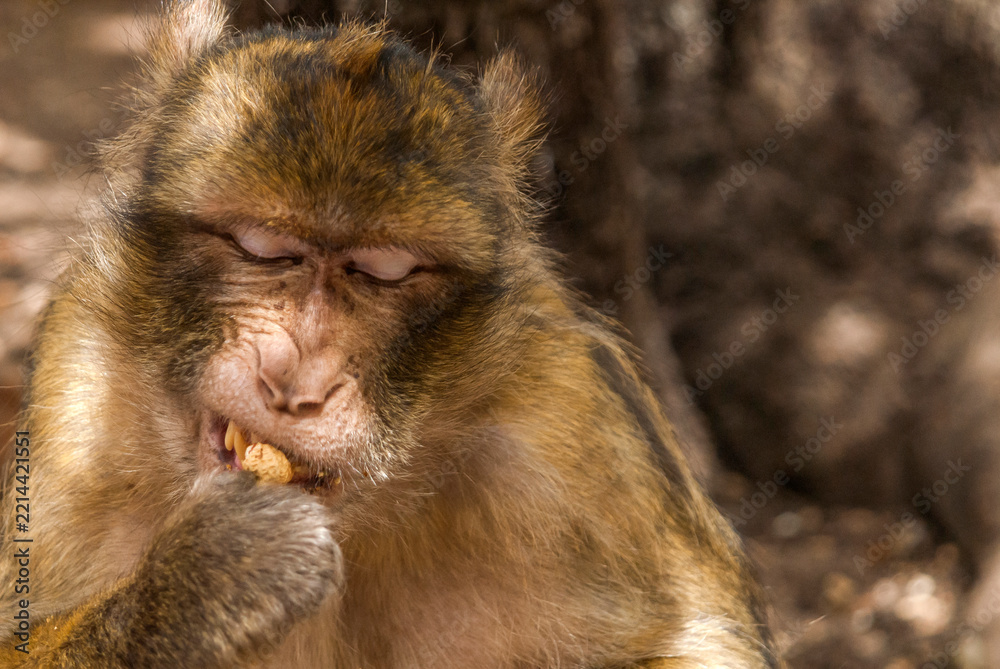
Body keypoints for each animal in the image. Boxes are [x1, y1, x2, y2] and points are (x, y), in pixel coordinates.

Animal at [0, 1, 780, 667]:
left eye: (385, 270)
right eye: (262, 248)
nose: (296, 382)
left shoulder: (570, 425)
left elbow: (697, 640)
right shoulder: (84, 386)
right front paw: (202, 582)